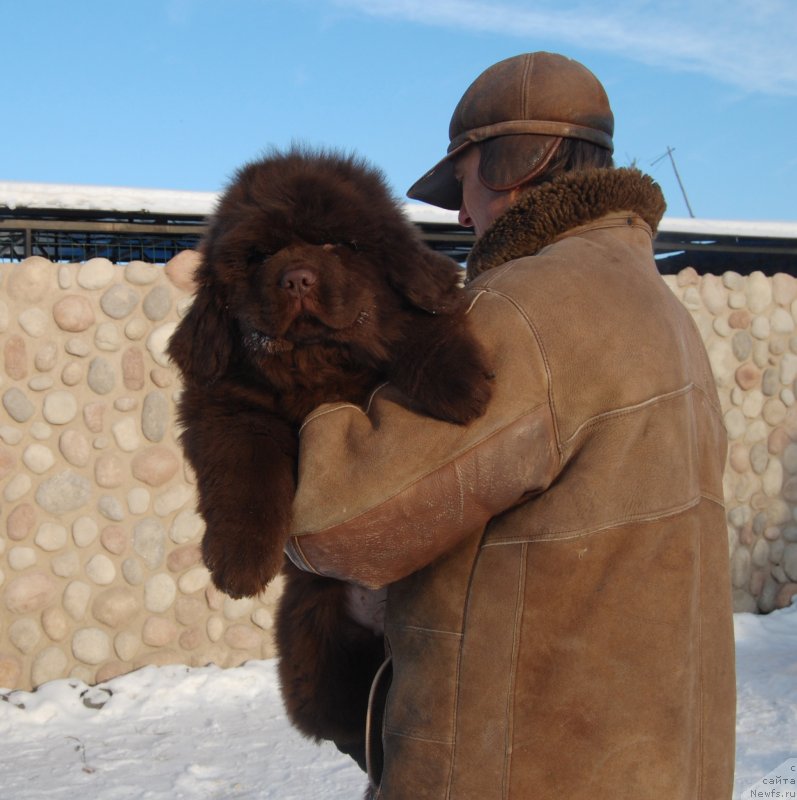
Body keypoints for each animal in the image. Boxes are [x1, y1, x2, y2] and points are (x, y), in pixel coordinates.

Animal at [168, 148, 492, 776]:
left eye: (338, 243)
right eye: (258, 256)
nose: (297, 278)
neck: (315, 371)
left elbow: (415, 327)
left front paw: (461, 383)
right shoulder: (229, 408)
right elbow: (245, 474)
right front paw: (239, 564)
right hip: (311, 640)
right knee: (343, 725)